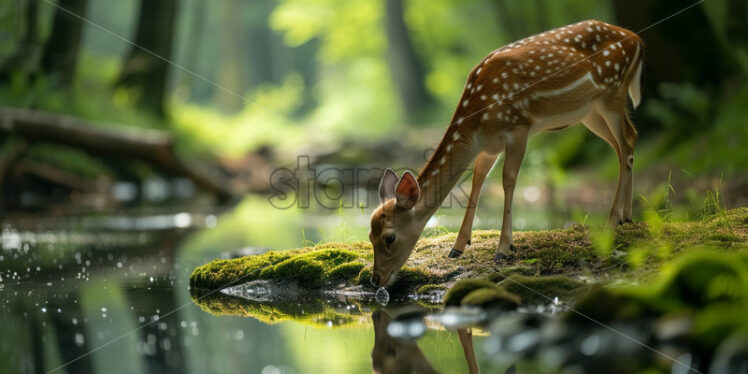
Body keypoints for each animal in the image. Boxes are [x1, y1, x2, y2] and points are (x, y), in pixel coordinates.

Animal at [368, 19, 644, 290]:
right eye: (370, 235)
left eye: (390, 237)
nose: (375, 280)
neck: (478, 119)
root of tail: (637, 39)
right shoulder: (489, 147)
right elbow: (477, 181)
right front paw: (458, 247)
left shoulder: (518, 127)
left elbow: (509, 180)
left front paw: (503, 248)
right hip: (590, 112)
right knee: (624, 144)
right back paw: (627, 217)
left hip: (612, 93)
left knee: (627, 140)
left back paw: (612, 221)